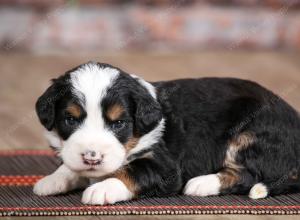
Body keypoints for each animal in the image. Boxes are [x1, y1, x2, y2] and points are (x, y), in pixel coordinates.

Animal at [33, 60, 300, 205]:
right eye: (70, 119)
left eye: (118, 123)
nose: (91, 157)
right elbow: (69, 165)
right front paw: (52, 179)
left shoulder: (165, 167)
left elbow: (132, 172)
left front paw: (103, 188)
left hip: (248, 134)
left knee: (249, 175)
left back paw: (201, 183)